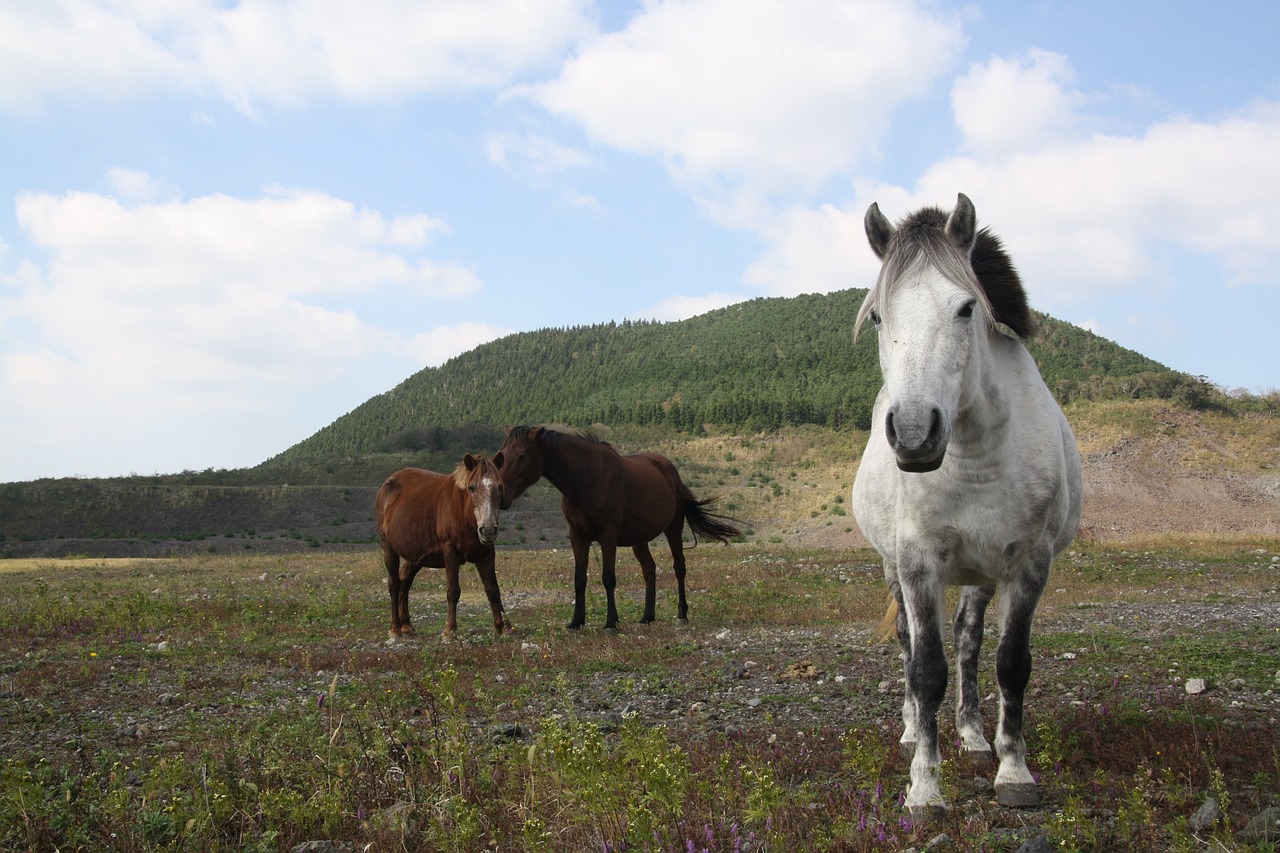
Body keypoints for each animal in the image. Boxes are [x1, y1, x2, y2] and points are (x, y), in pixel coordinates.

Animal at [373, 450, 506, 637]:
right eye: (472, 487)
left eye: (499, 487)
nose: (487, 530)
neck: (463, 514)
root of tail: (387, 485)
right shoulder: (450, 552)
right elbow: (453, 591)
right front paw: (450, 629)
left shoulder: (486, 553)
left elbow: (493, 589)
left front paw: (503, 627)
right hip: (389, 549)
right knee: (394, 584)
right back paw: (395, 628)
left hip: (415, 556)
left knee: (405, 581)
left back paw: (406, 624)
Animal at [496, 425, 742, 630]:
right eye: (501, 456)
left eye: (522, 456)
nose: (501, 495)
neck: (585, 479)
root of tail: (671, 472)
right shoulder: (577, 536)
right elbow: (579, 579)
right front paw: (576, 621)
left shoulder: (608, 536)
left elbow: (608, 578)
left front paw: (611, 622)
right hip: (639, 540)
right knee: (649, 570)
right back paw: (647, 616)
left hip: (673, 528)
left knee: (679, 567)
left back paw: (682, 614)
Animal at [849, 192, 1080, 819]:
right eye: (878, 316)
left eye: (966, 307)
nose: (912, 433)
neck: (975, 456)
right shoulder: (917, 563)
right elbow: (926, 668)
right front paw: (924, 788)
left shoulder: (1029, 564)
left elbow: (1010, 664)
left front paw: (1013, 771)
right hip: (892, 567)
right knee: (909, 644)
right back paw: (911, 730)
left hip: (981, 574)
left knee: (970, 641)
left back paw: (974, 735)